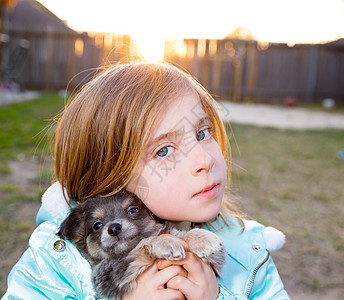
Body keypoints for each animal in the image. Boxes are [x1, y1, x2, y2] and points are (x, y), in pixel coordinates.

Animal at [58, 191, 227, 298]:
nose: (114, 228)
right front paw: (165, 243)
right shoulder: (115, 273)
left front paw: (204, 239)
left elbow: (181, 234)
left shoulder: (215, 264)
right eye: (97, 226)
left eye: (132, 211)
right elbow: (144, 242)